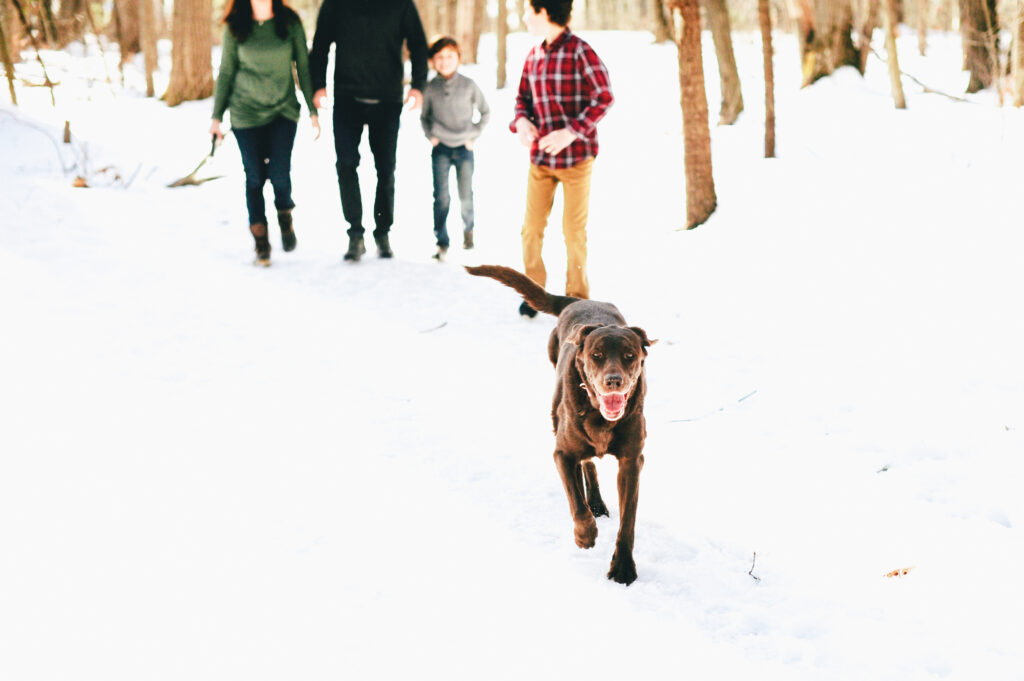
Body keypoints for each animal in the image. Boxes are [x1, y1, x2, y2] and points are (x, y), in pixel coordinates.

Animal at [466, 266, 655, 585]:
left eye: (630, 355)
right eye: (596, 355)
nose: (614, 381)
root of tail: (577, 301)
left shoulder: (631, 461)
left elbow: (627, 520)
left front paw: (623, 568)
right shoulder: (563, 454)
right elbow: (576, 504)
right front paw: (585, 536)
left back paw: (598, 504)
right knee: (585, 467)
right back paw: (593, 507)